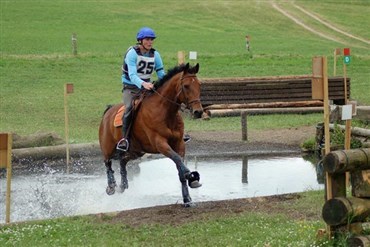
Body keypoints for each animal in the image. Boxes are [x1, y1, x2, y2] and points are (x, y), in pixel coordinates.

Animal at [97, 62, 204, 206]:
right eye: (186, 86)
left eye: (199, 85)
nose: (198, 112)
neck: (165, 112)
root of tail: (108, 112)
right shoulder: (160, 143)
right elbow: (177, 159)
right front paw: (190, 174)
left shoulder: (179, 143)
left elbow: (180, 167)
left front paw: (188, 198)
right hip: (108, 147)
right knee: (107, 163)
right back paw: (111, 186)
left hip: (136, 151)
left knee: (123, 162)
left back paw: (123, 185)